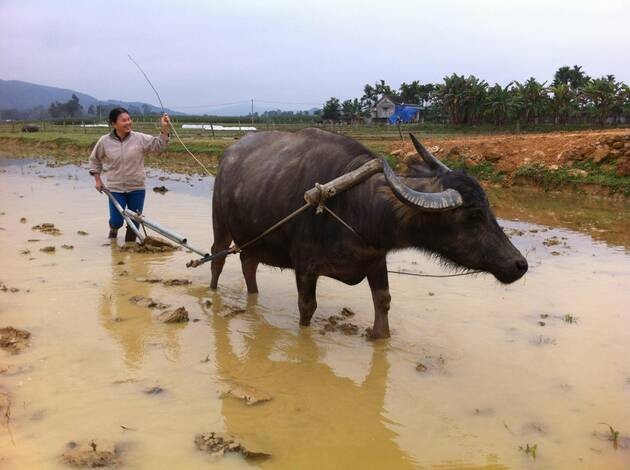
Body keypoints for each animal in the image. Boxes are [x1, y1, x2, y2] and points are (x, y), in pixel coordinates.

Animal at [212, 129, 528, 338]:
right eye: (473, 215)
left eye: (489, 208)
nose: (519, 264)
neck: (356, 207)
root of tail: (227, 156)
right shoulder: (305, 268)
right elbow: (307, 307)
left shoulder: (376, 261)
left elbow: (383, 301)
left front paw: (379, 336)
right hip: (221, 226)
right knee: (218, 259)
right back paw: (213, 291)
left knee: (248, 264)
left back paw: (253, 297)